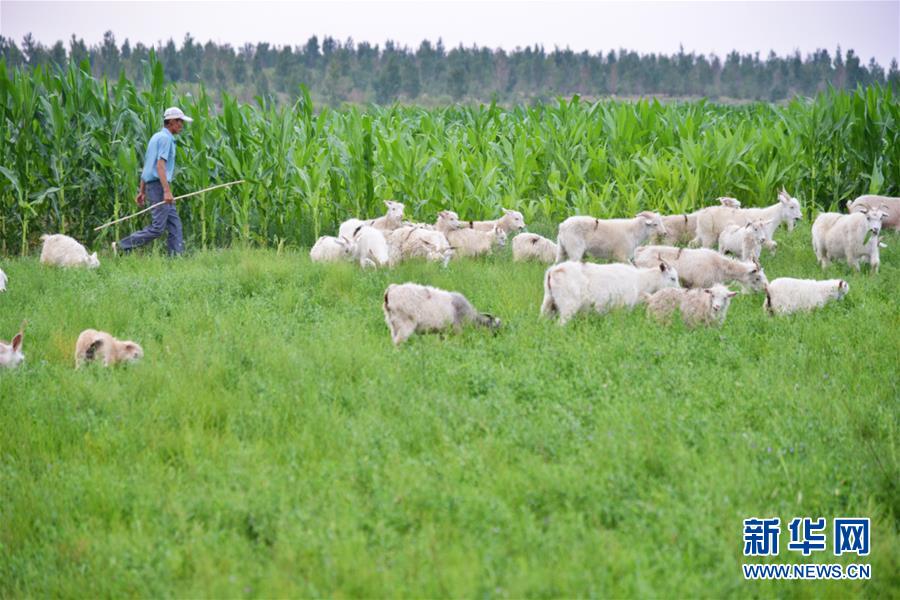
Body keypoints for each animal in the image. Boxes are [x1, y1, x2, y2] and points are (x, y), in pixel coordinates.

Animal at [536, 258, 680, 324]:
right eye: (672, 278)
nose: (679, 290)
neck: (640, 280)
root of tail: (553, 271)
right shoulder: (622, 307)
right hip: (568, 305)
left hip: (548, 303)